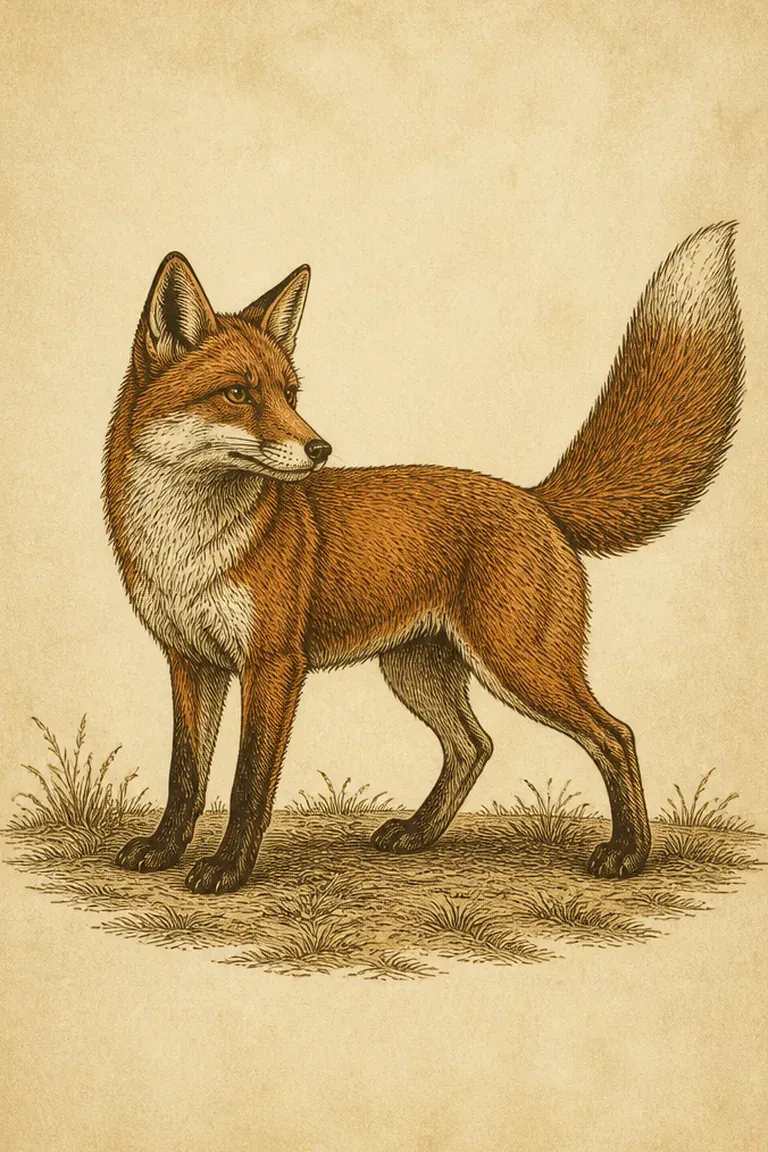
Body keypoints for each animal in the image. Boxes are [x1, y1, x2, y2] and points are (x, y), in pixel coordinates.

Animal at [103, 223, 744, 895]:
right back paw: (418, 832)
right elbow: (185, 776)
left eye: (290, 394)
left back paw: (628, 852)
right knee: (474, 746)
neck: (186, 547)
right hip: (418, 672)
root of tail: (535, 499)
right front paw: (164, 848)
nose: (319, 448)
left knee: (614, 735)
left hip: (520, 666)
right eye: (236, 394)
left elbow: (247, 782)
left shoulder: (273, 665)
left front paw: (228, 867)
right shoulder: (190, 662)